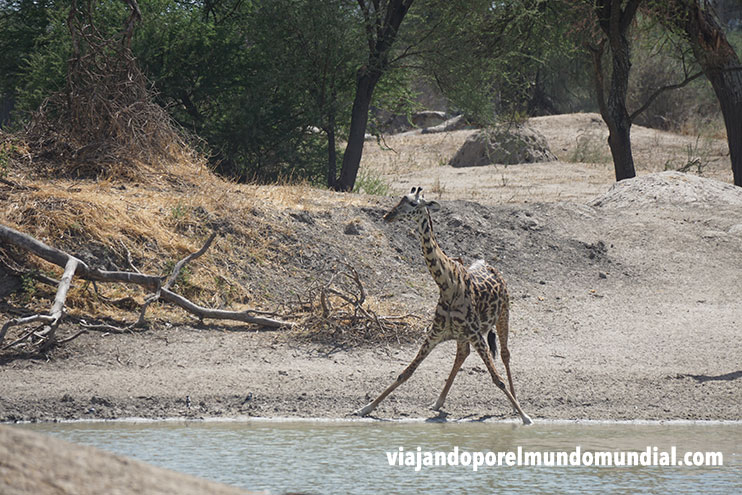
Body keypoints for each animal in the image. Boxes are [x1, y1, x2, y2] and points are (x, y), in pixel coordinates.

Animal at [355, 187, 533, 425]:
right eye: (400, 200)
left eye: (413, 204)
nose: (387, 216)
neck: (447, 285)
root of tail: (493, 267)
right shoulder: (435, 333)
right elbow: (405, 372)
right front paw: (366, 407)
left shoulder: (476, 334)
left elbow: (498, 379)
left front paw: (525, 417)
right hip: (463, 336)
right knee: (462, 354)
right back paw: (439, 402)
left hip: (503, 314)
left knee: (505, 354)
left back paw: (515, 403)